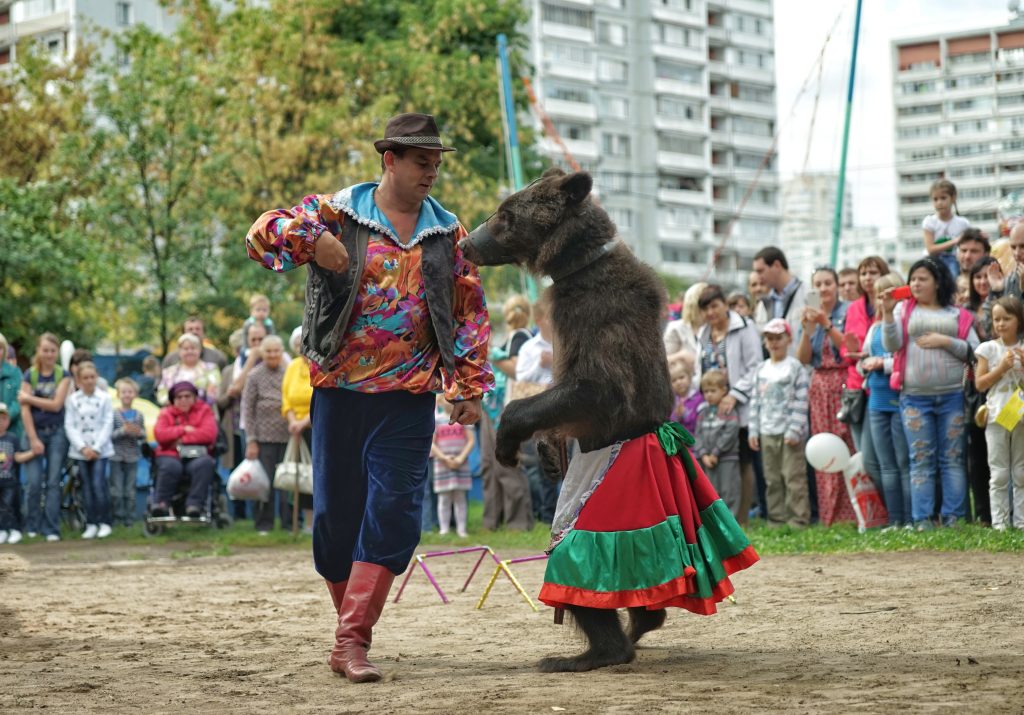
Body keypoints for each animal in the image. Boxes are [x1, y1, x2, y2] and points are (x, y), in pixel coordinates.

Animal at [460, 168, 758, 673]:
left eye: (505, 214)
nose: (466, 242)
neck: (573, 264)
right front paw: (547, 449)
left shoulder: (590, 316)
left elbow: (595, 387)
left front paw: (508, 440)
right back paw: (641, 622)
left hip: (612, 506)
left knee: (571, 555)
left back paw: (589, 652)